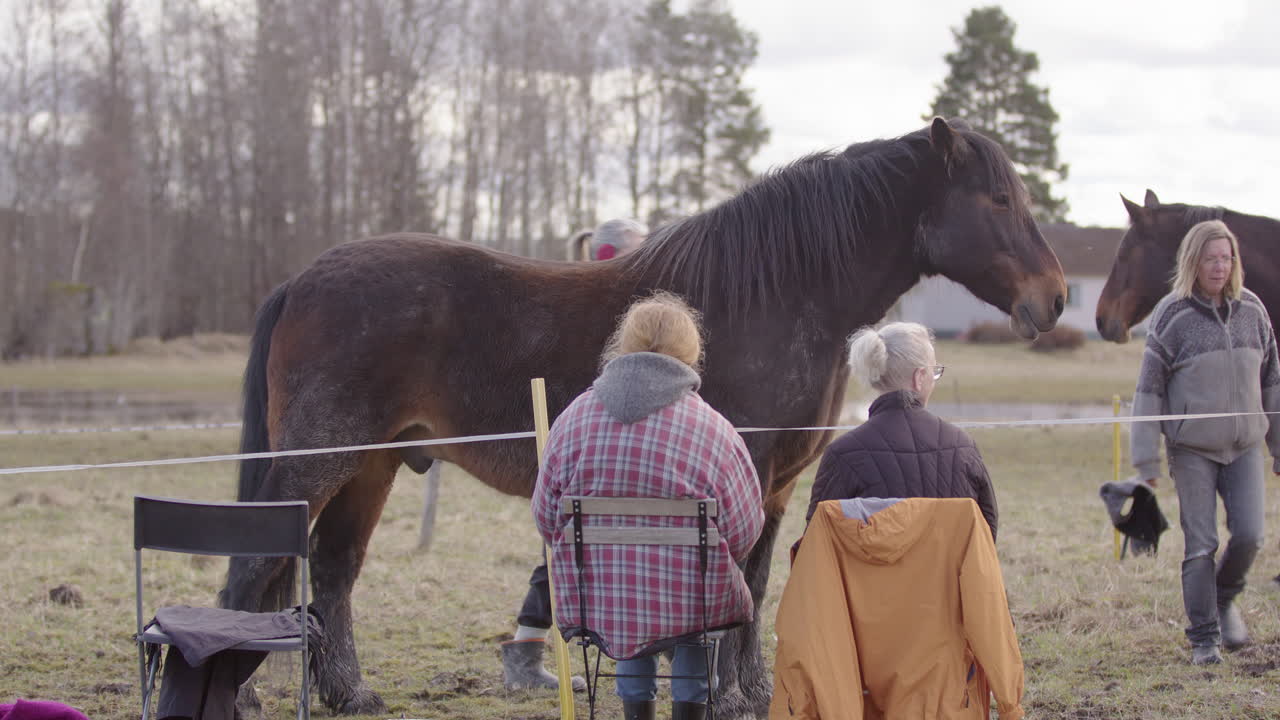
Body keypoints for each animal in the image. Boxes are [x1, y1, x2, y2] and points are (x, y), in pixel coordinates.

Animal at [220, 117, 1066, 718]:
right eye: (998, 200)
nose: (1054, 299)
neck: (780, 293)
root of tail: (302, 279)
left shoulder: (778, 484)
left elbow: (757, 585)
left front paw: (754, 693)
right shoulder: (744, 472)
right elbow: (738, 586)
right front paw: (728, 697)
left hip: (374, 466)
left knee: (333, 570)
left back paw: (349, 694)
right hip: (322, 461)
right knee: (256, 562)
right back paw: (238, 688)